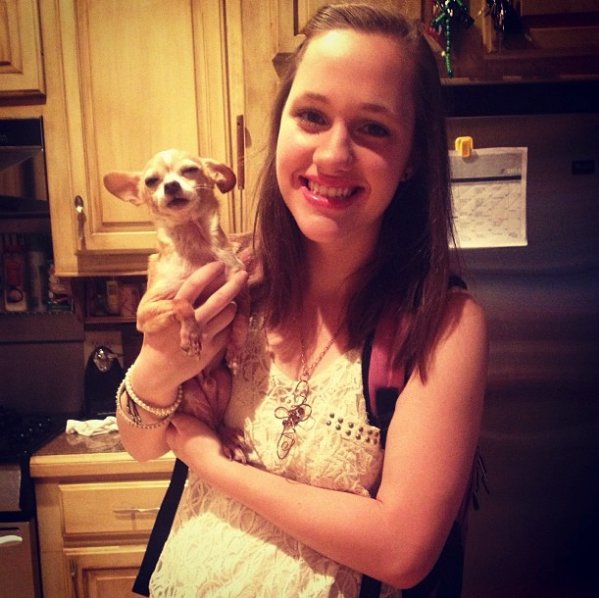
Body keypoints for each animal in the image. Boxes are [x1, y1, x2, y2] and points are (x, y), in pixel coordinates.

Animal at [104, 148, 250, 462]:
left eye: (190, 170)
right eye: (151, 181)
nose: (170, 186)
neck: (197, 243)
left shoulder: (240, 287)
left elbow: (243, 317)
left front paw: (235, 349)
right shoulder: (147, 311)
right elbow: (182, 301)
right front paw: (191, 335)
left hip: (222, 383)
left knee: (217, 422)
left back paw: (229, 440)